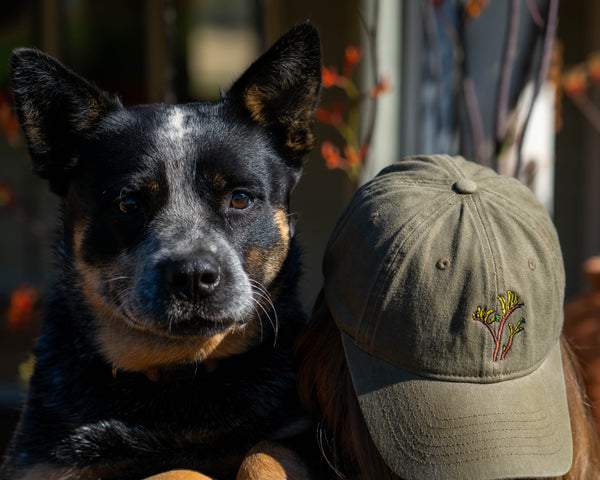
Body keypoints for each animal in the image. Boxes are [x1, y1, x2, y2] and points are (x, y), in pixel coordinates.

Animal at [2, 22, 322, 480]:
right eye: (128, 203)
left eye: (240, 198)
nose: (193, 276)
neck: (180, 380)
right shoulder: (42, 464)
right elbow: (174, 471)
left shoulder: (296, 431)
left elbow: (264, 452)